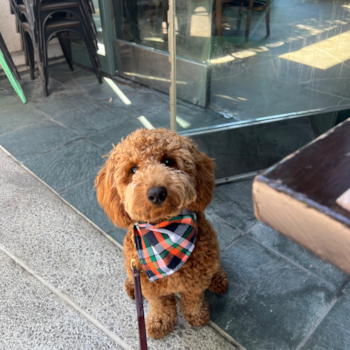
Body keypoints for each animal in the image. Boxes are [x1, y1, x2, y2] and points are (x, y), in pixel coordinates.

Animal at [94, 129, 228, 340]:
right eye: (133, 170)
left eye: (168, 161)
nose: (157, 193)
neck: (165, 231)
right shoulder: (150, 285)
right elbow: (161, 305)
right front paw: (160, 322)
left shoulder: (196, 280)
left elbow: (193, 298)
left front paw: (196, 315)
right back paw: (132, 287)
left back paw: (218, 279)